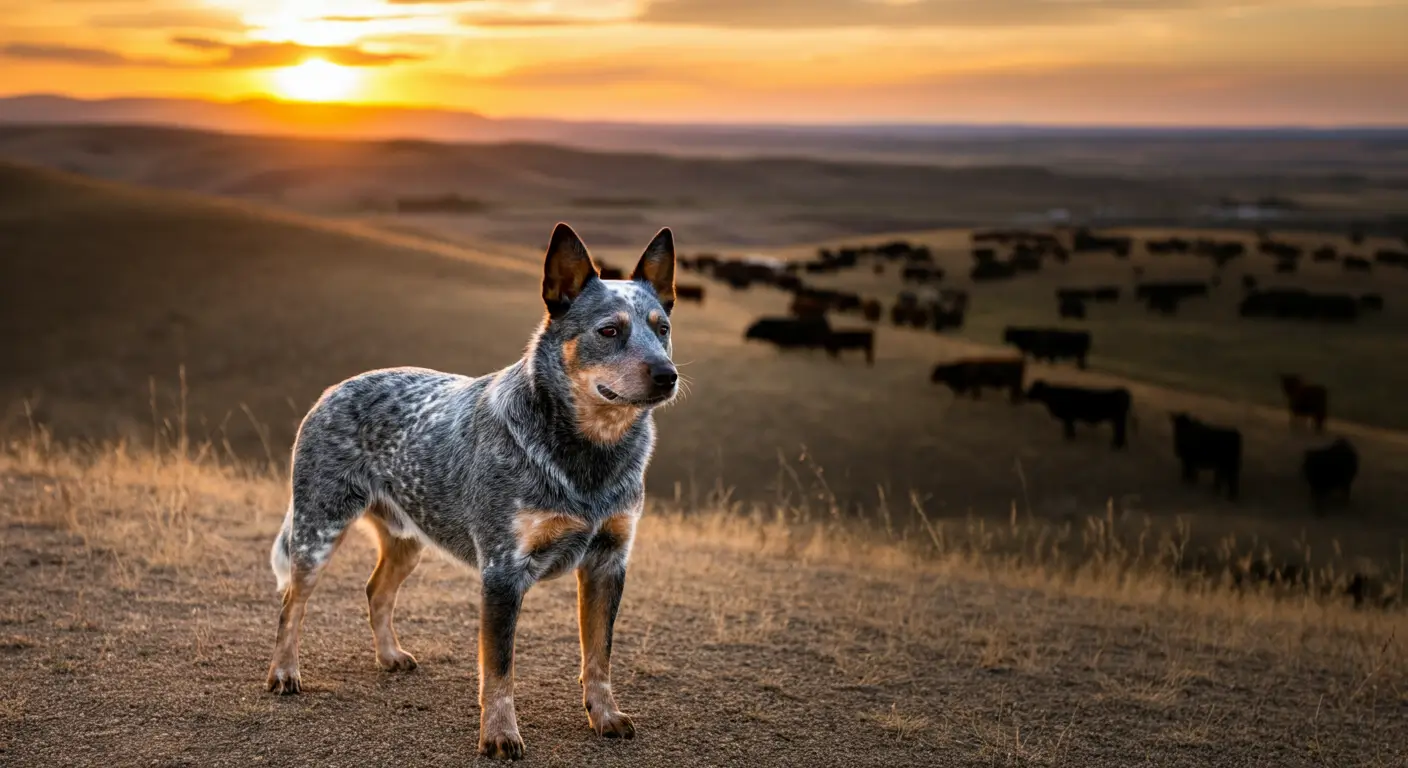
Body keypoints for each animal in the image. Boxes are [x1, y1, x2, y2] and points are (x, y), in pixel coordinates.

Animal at [267, 222, 681, 760]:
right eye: (610, 330)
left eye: (662, 328)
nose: (668, 374)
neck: (591, 456)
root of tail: (333, 389)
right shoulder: (502, 572)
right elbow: (499, 669)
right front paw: (500, 734)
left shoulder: (608, 562)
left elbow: (599, 656)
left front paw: (605, 715)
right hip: (318, 526)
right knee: (292, 601)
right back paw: (283, 672)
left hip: (409, 537)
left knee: (377, 590)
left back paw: (389, 655)